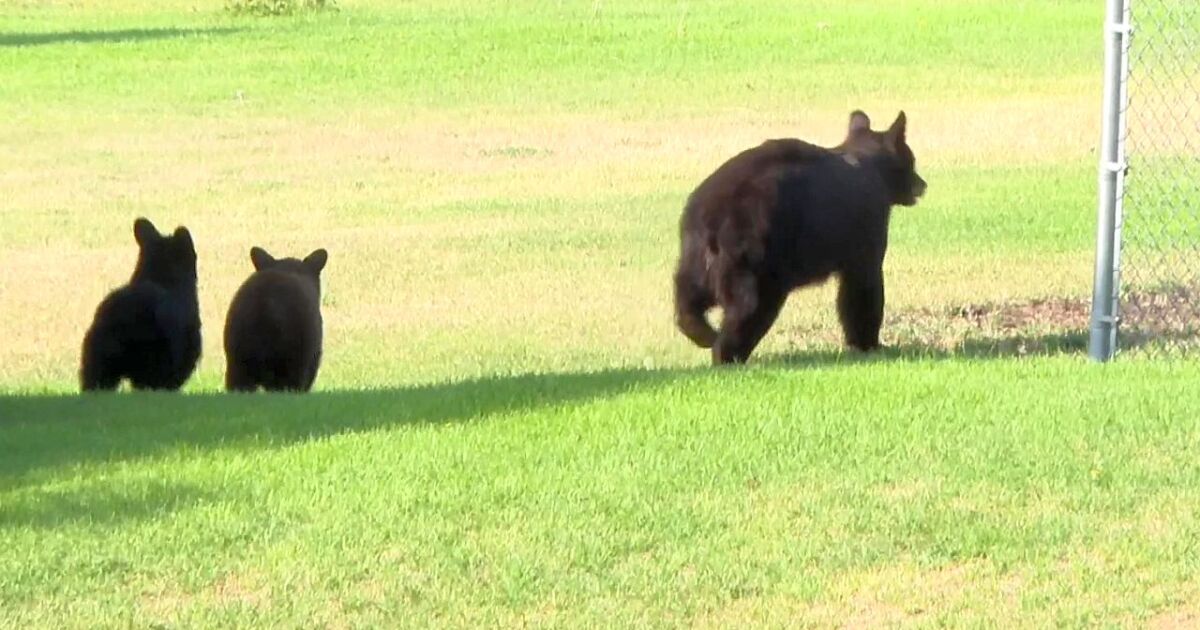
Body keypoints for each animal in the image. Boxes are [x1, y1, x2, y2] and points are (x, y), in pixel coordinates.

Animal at [673, 110, 927, 365]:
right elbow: (862, 286)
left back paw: (704, 333)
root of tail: (711, 215)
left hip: (695, 257)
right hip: (754, 259)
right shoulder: (867, 229)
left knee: (687, 299)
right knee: (749, 307)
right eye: (912, 160)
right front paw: (868, 344)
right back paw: (727, 355)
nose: (923, 184)